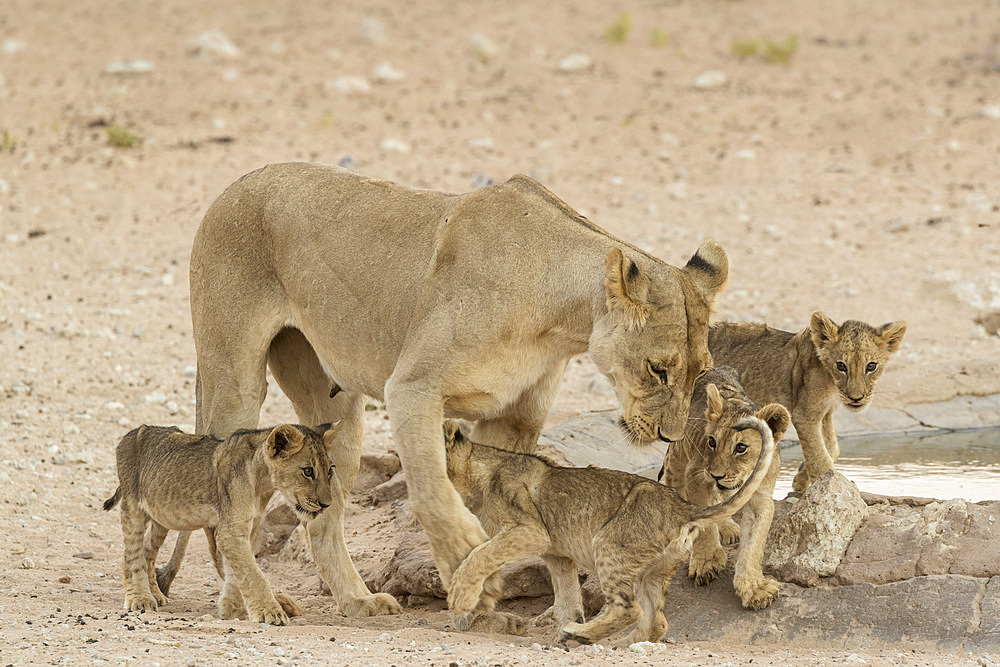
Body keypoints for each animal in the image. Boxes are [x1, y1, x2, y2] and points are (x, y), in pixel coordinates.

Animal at [170, 163, 728, 620]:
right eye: (658, 369)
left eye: (700, 372)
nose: (668, 436)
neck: (560, 315)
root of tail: (237, 183)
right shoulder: (411, 387)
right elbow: (432, 491)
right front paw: (464, 560)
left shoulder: (514, 417)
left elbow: (496, 502)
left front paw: (482, 583)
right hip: (234, 378)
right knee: (225, 504)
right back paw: (244, 602)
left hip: (336, 413)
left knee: (322, 517)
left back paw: (356, 600)